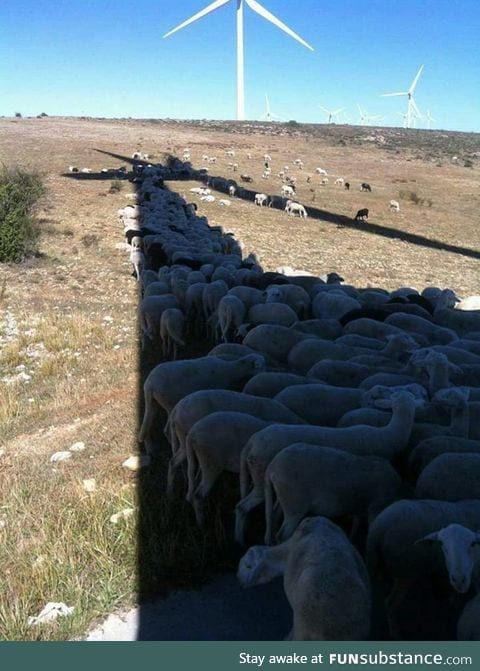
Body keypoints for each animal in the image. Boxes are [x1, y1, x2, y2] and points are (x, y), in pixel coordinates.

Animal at [264, 444, 404, 544]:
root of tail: (272, 466)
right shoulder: (376, 505)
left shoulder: (359, 507)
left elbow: (356, 523)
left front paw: (352, 539)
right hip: (294, 502)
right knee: (283, 534)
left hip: (284, 498)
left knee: (274, 515)